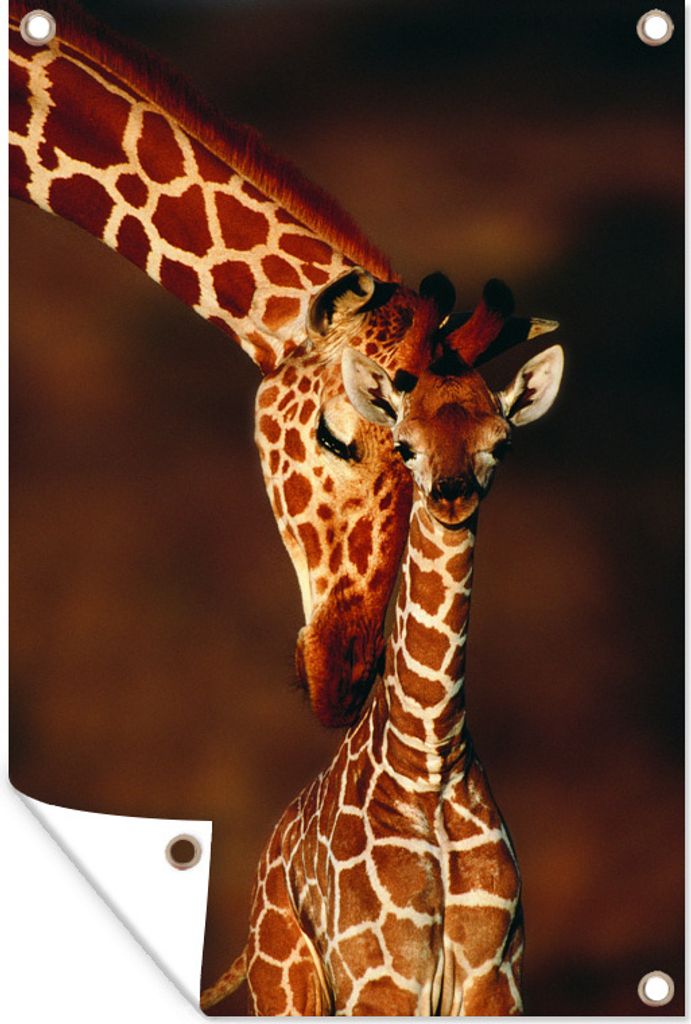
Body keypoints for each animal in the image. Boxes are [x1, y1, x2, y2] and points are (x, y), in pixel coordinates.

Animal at [200, 284, 564, 1015]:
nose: (451, 497)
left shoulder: (495, 979)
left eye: (501, 444)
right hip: (288, 987)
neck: (429, 760)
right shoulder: (383, 979)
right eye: (405, 446)